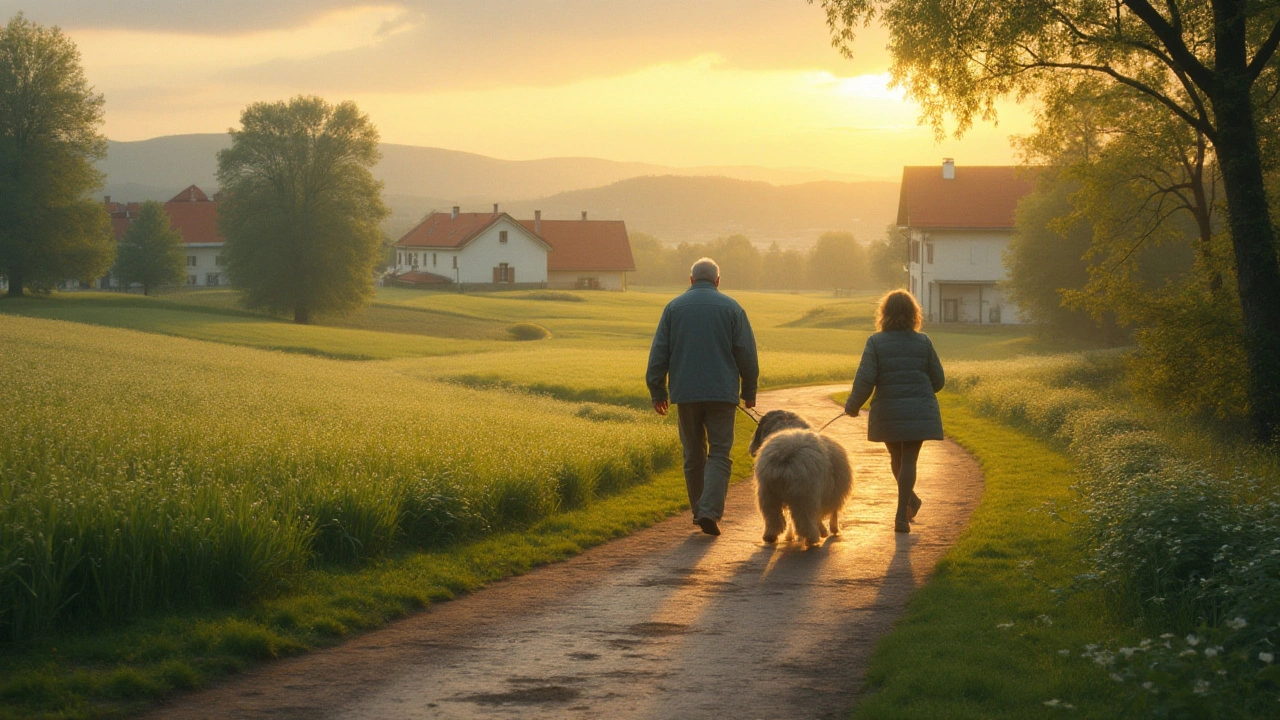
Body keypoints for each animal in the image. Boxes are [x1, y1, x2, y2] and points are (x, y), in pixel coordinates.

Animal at [747, 409, 849, 543]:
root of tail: (786, 458)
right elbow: (826, 514)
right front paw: (825, 530)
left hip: (768, 494)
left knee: (773, 517)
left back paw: (770, 536)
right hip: (806, 494)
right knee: (809, 517)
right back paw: (813, 537)